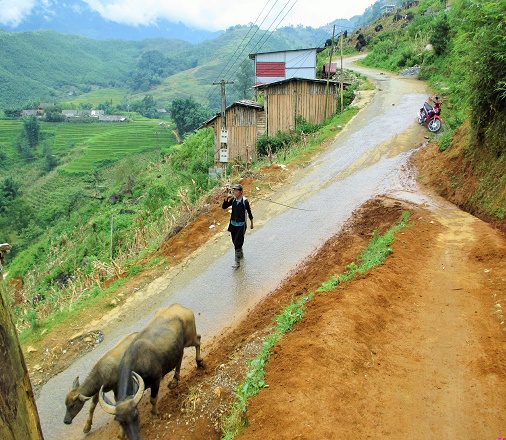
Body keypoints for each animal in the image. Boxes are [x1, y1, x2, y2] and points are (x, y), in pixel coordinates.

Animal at [99, 302, 204, 440]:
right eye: (121, 422)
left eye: (136, 415)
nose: (134, 437)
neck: (136, 363)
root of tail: (179, 306)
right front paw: (121, 433)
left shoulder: (155, 381)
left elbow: (153, 399)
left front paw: (154, 414)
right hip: (177, 347)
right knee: (180, 357)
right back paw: (175, 380)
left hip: (190, 338)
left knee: (198, 340)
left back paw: (200, 362)